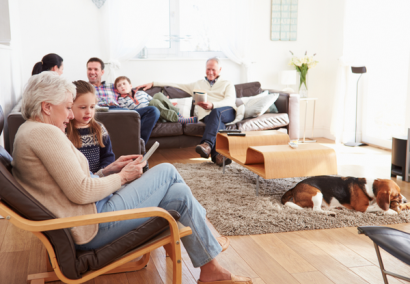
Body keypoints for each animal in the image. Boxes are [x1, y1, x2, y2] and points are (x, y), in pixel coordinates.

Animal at [280, 176, 408, 214]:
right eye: (397, 195)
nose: (406, 201)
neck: (371, 187)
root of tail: (294, 188)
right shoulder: (362, 208)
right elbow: (378, 207)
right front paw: (391, 210)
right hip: (317, 193)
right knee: (316, 209)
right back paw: (329, 213)